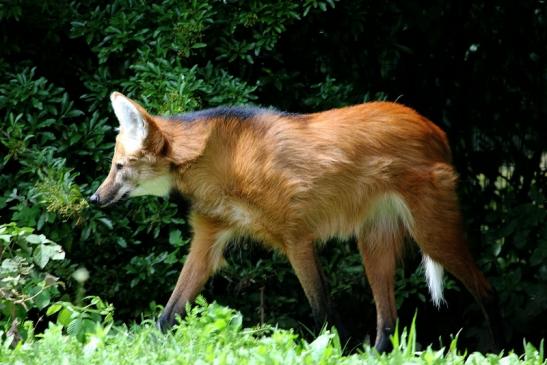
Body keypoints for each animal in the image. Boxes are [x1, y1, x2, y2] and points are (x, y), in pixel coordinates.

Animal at [91, 91, 506, 350]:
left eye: (119, 167)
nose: (95, 198)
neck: (217, 159)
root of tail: (435, 130)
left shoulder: (297, 237)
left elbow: (322, 309)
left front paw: (338, 350)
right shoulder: (210, 235)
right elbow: (169, 313)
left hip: (431, 230)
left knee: (487, 290)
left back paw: (500, 349)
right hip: (373, 241)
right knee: (387, 319)